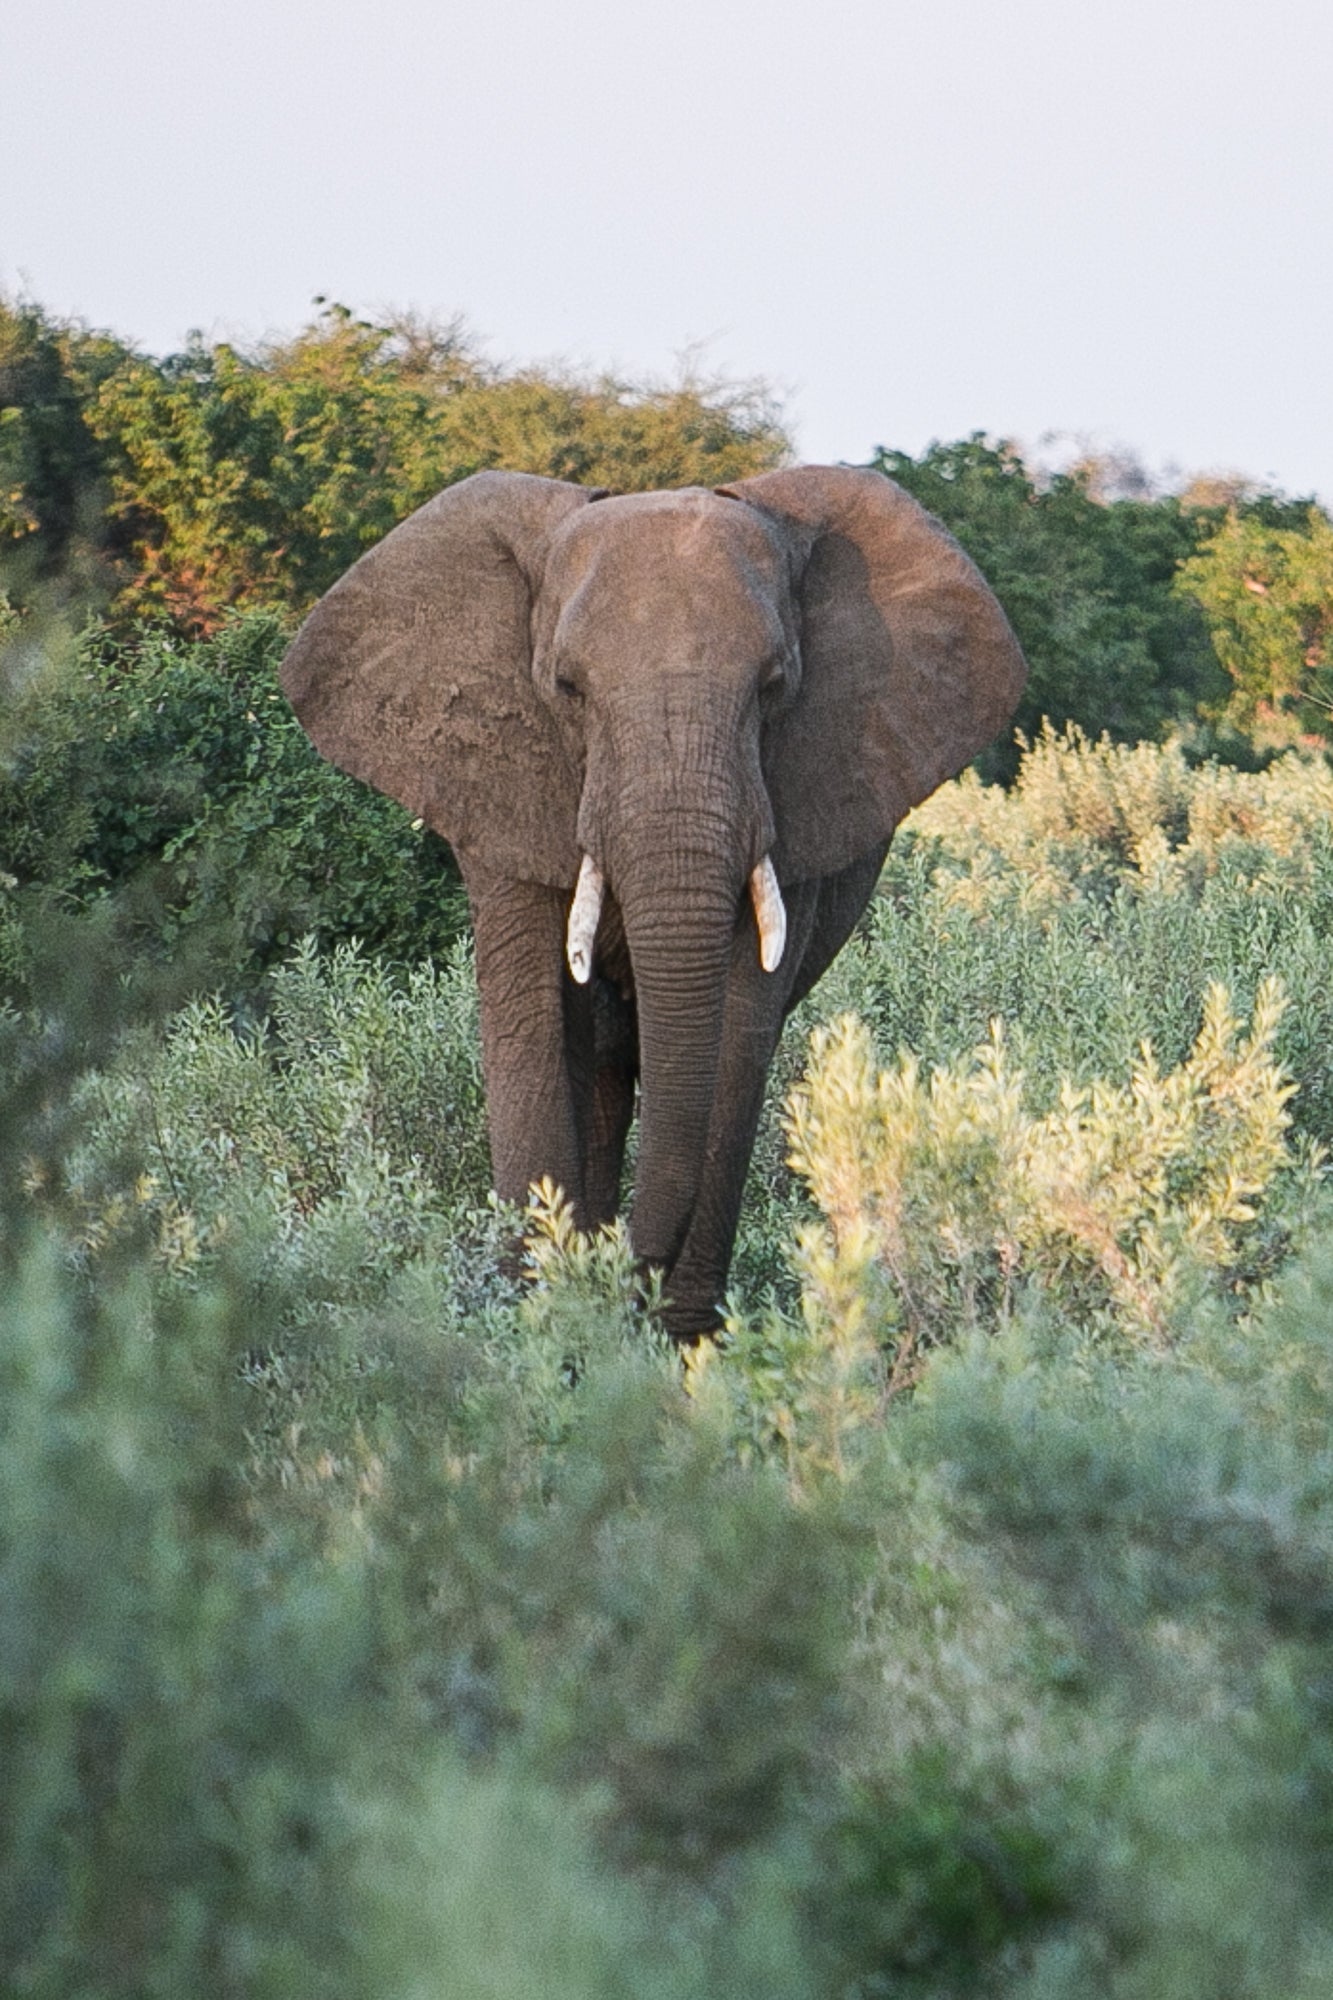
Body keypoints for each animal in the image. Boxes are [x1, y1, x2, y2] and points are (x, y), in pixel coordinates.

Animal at [280, 465, 1026, 1340]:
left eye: (774, 686)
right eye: (566, 688)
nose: (624, 1279)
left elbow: (736, 1035)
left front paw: (680, 1340)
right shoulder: (498, 786)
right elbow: (533, 1026)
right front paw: (538, 1322)